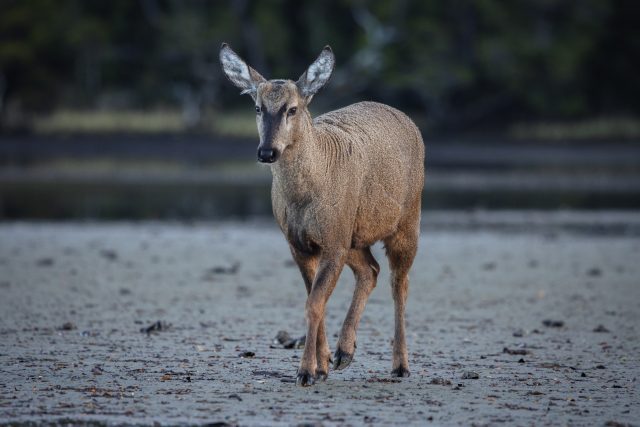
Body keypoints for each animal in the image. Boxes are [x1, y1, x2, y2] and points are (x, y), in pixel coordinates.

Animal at [220, 44, 424, 388]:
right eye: (258, 108)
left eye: (292, 109)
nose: (266, 152)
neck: (306, 194)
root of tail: (409, 121)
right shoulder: (301, 243)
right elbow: (315, 301)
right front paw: (322, 365)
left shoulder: (333, 242)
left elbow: (313, 303)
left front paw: (305, 371)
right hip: (354, 235)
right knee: (371, 270)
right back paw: (344, 353)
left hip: (407, 220)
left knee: (400, 284)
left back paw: (400, 365)